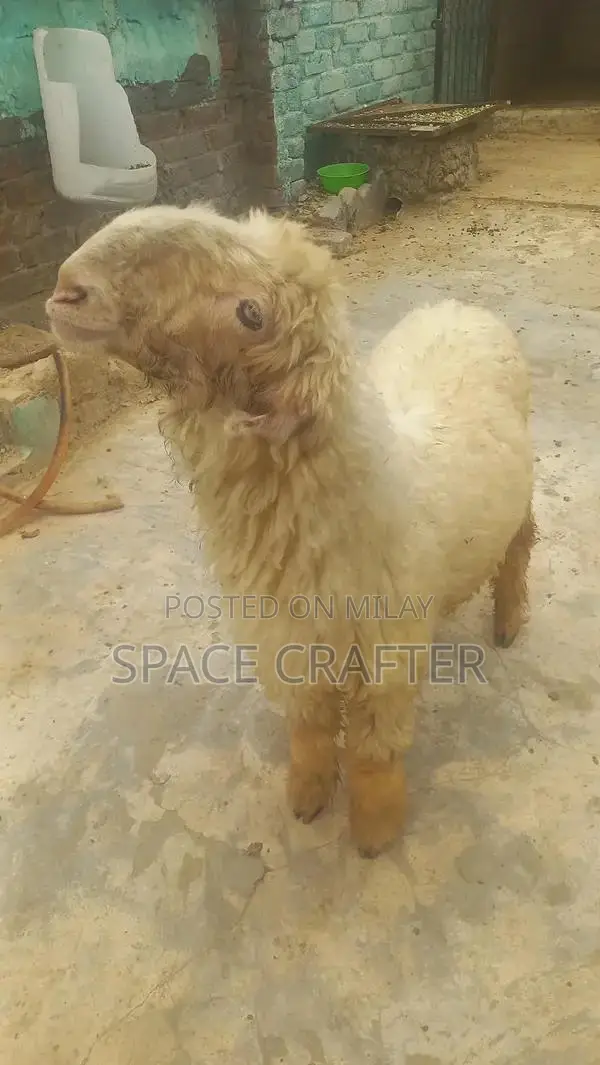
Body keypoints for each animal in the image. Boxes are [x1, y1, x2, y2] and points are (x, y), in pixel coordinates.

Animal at [45, 202, 536, 858]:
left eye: (251, 313)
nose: (68, 288)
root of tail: (460, 306)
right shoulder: (290, 641)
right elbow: (310, 728)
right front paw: (306, 796)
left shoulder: (387, 654)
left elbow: (374, 751)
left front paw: (374, 832)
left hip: (524, 498)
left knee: (519, 550)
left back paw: (507, 620)